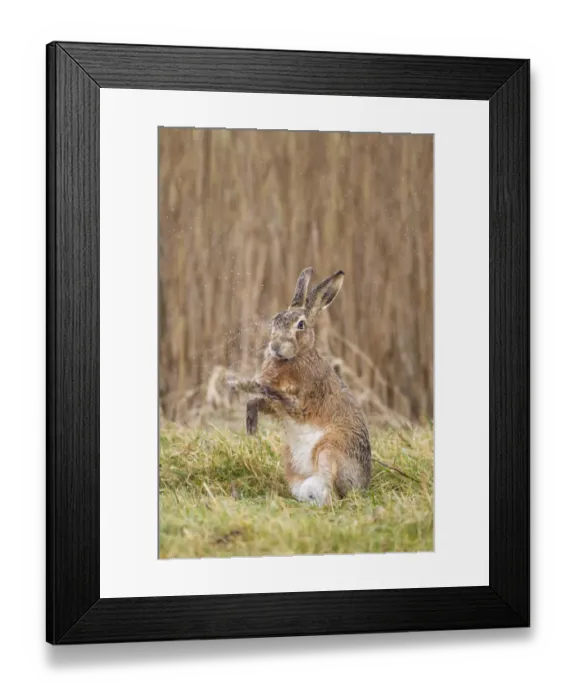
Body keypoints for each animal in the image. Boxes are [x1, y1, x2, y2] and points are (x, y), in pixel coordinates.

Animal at [233, 267, 372, 506]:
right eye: (275, 320)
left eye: (301, 325)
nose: (276, 346)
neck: (297, 356)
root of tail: (362, 486)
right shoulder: (276, 407)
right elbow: (261, 401)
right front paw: (251, 425)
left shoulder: (303, 403)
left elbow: (281, 397)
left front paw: (249, 385)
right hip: (292, 464)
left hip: (330, 449)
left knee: (332, 494)